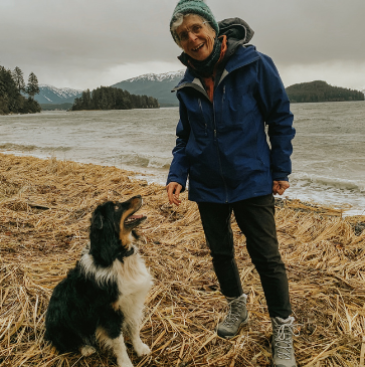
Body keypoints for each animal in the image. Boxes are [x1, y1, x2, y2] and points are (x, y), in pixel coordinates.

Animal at [45, 196, 152, 367]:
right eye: (115, 207)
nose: (140, 196)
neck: (117, 255)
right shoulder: (108, 312)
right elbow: (118, 342)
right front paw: (125, 362)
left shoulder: (133, 302)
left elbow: (134, 329)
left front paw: (140, 348)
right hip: (61, 321)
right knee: (66, 342)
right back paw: (86, 348)